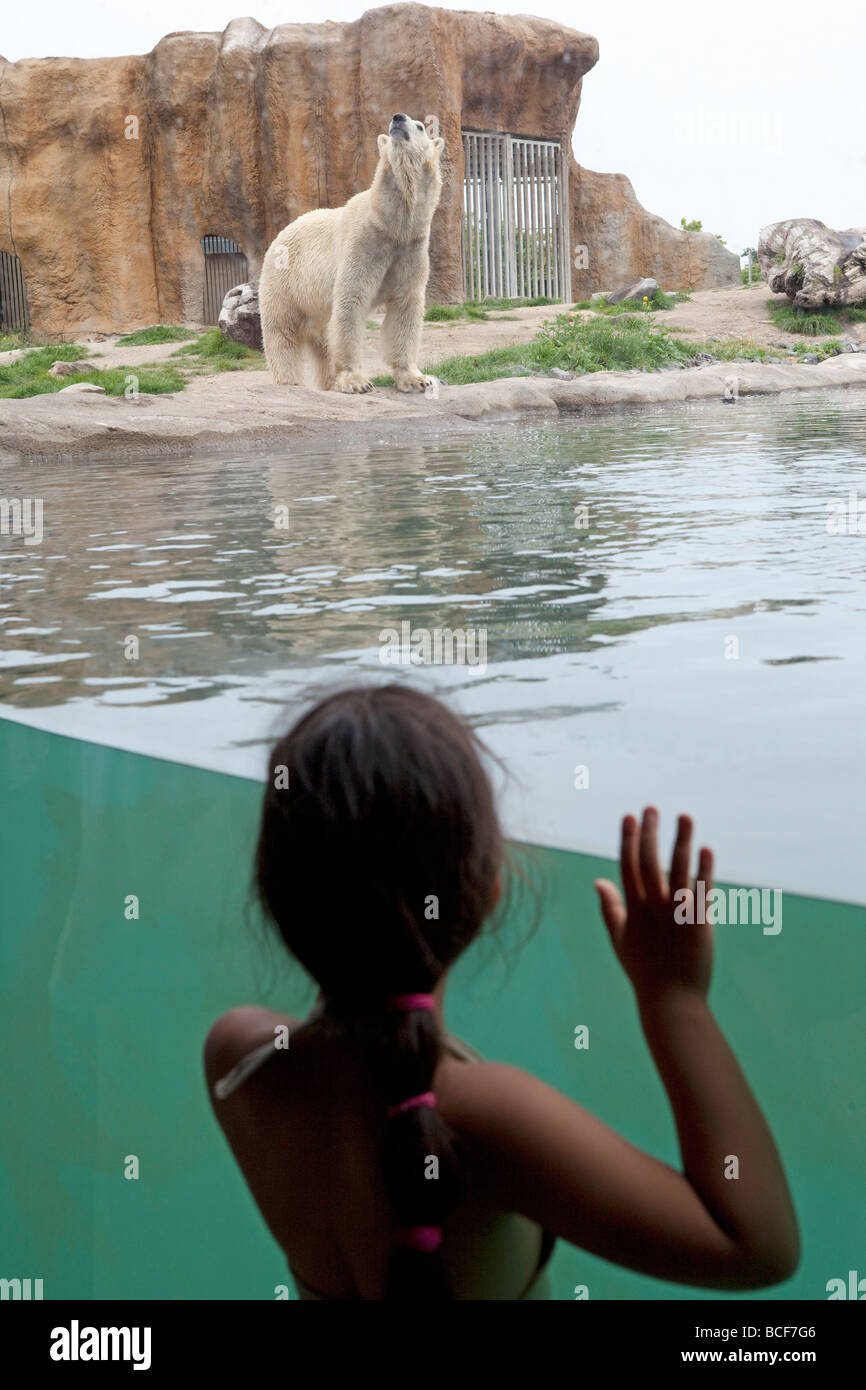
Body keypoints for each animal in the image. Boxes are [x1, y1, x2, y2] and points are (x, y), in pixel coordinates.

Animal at [257, 110, 447, 394]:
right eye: (394, 123)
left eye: (420, 126)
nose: (397, 117)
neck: (393, 225)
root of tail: (282, 231)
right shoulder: (363, 244)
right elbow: (351, 302)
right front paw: (356, 382)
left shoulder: (411, 249)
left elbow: (405, 307)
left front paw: (416, 379)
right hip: (283, 281)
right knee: (282, 331)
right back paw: (290, 380)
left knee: (321, 339)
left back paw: (327, 382)